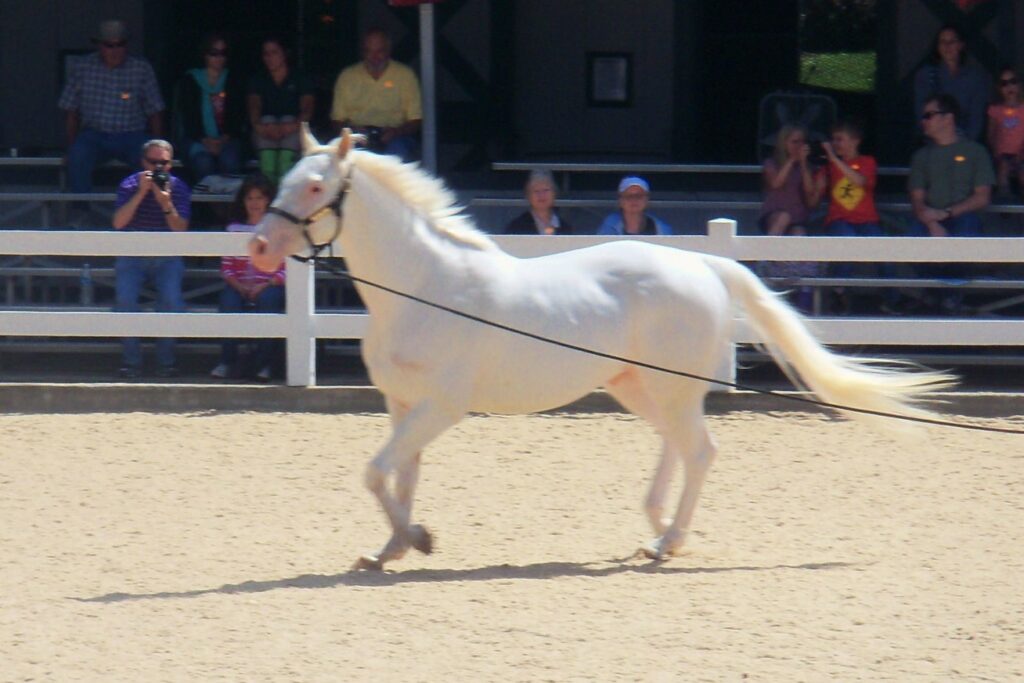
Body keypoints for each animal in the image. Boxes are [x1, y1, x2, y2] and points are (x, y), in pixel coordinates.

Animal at [251, 127, 954, 573]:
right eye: (285, 178)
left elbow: (375, 472)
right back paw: (657, 534)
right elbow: (398, 476)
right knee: (680, 447)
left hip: (669, 388)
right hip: (637, 385)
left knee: (701, 450)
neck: (422, 285)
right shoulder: (403, 405)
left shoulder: (441, 407)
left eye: (314, 187)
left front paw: (416, 540)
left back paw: (667, 542)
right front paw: (392, 548)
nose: (258, 247)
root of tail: (705, 263)